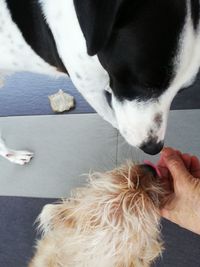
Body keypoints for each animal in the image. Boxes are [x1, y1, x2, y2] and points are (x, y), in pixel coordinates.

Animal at [0, 0, 200, 164]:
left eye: (182, 90)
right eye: (144, 82)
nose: (153, 148)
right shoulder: (91, 90)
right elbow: (112, 117)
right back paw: (14, 155)